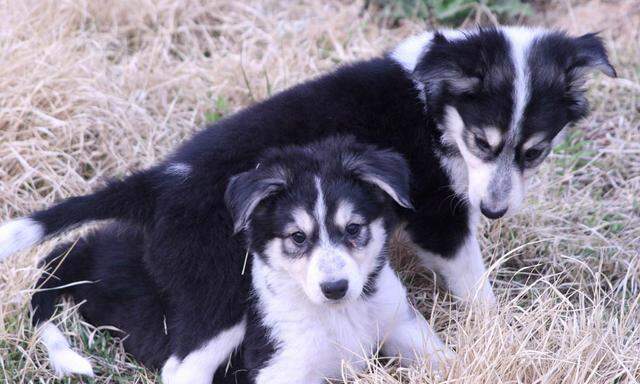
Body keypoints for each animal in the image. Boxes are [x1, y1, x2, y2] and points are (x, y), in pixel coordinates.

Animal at [30, 136, 450, 382]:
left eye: (353, 229)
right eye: (297, 237)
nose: (335, 288)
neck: (339, 314)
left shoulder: (403, 324)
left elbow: (445, 359)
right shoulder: (279, 368)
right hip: (220, 308)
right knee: (180, 369)